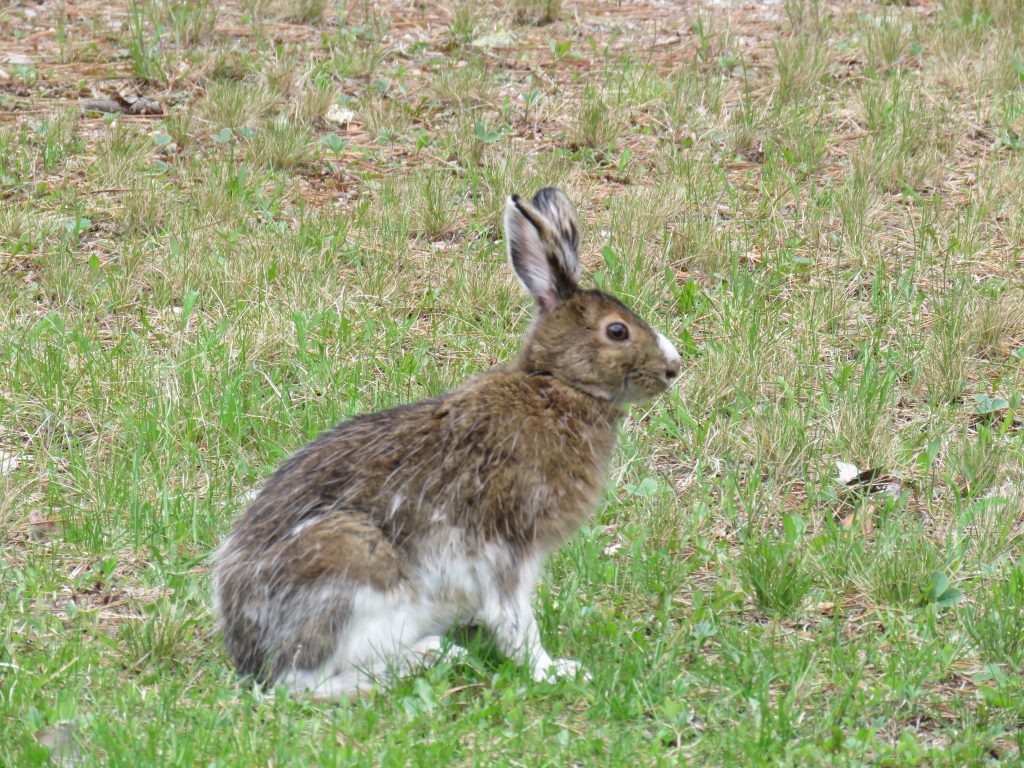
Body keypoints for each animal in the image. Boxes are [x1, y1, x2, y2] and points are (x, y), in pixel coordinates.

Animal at [213, 187, 682, 699]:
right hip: (354, 571)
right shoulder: (507, 545)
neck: (557, 385)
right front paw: (551, 670)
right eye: (617, 331)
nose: (674, 367)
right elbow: (515, 618)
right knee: (301, 684)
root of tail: (249, 652)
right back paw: (426, 656)